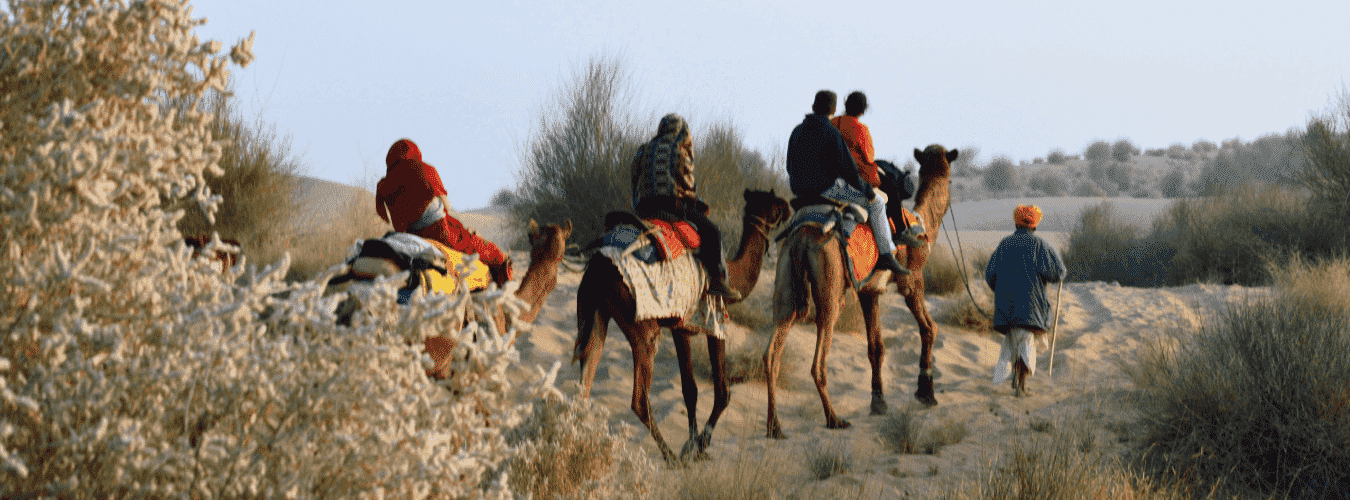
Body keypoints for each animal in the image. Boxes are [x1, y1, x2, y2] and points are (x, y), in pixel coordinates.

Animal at [575, 189, 793, 462]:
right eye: (774, 204)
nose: (788, 206)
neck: (733, 275)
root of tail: (598, 265)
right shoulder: (715, 321)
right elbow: (723, 392)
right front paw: (700, 444)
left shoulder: (680, 325)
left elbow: (690, 389)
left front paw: (692, 443)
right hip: (642, 326)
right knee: (639, 399)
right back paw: (670, 458)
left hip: (595, 313)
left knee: (584, 383)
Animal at [766, 143, 955, 437]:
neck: (923, 224)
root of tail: (802, 237)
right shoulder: (912, 280)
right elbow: (929, 328)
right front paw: (926, 392)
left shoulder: (870, 291)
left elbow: (875, 346)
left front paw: (878, 402)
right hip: (831, 284)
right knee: (819, 359)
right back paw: (834, 419)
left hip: (786, 281)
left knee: (772, 354)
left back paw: (775, 426)